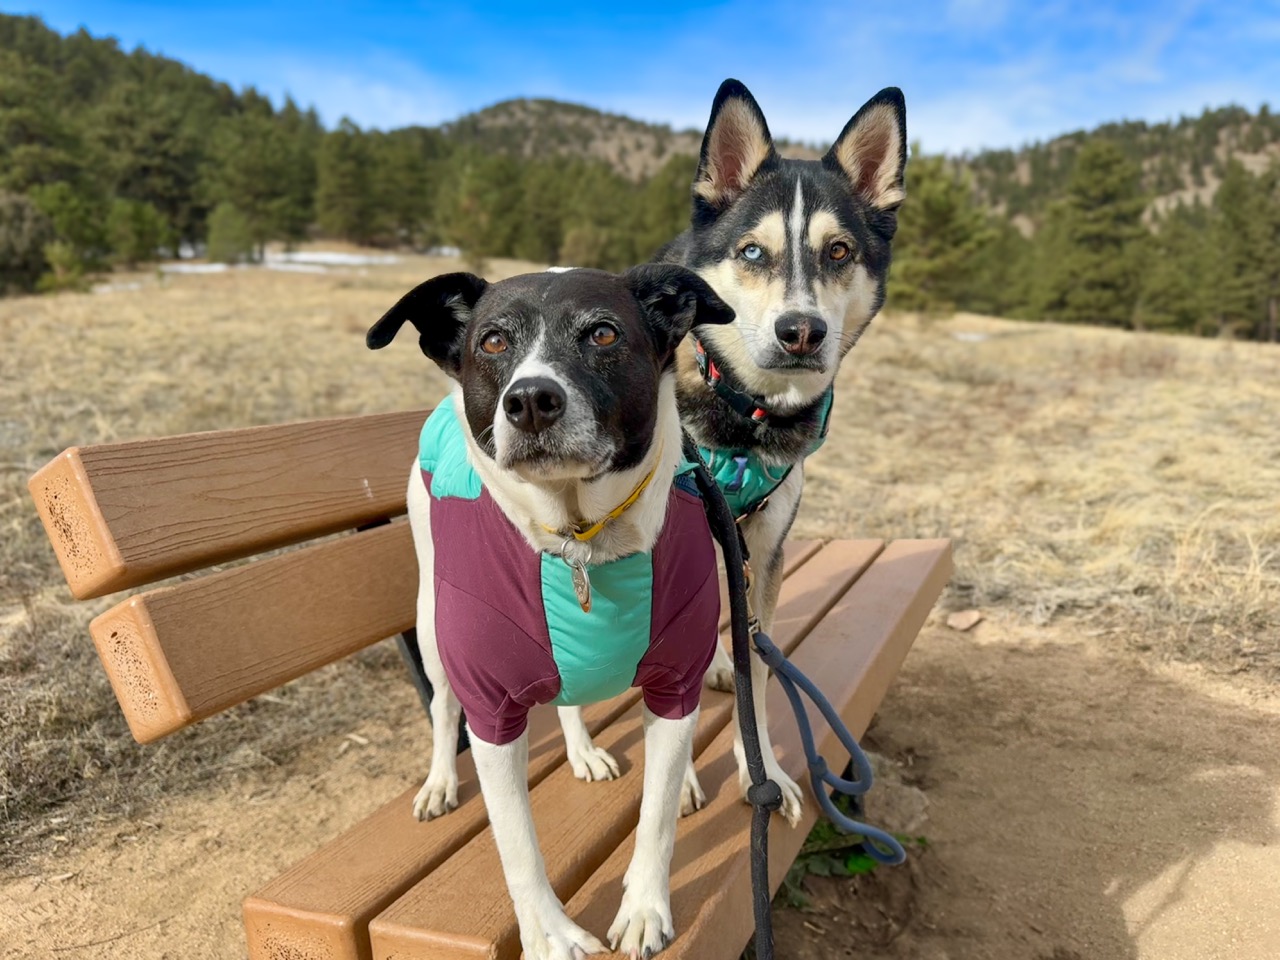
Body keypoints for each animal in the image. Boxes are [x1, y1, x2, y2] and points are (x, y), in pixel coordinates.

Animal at [366, 264, 737, 960]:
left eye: (603, 332)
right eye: (492, 342)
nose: (531, 399)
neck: (578, 538)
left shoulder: (677, 683)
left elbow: (655, 816)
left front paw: (644, 908)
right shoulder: (492, 712)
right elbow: (517, 845)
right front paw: (549, 933)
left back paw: (594, 753)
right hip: (431, 622)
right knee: (442, 706)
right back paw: (440, 782)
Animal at [660, 79, 911, 829]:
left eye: (839, 252)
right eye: (751, 252)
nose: (801, 331)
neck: (746, 415)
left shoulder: (766, 546)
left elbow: (761, 669)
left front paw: (762, 768)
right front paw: (680, 780)